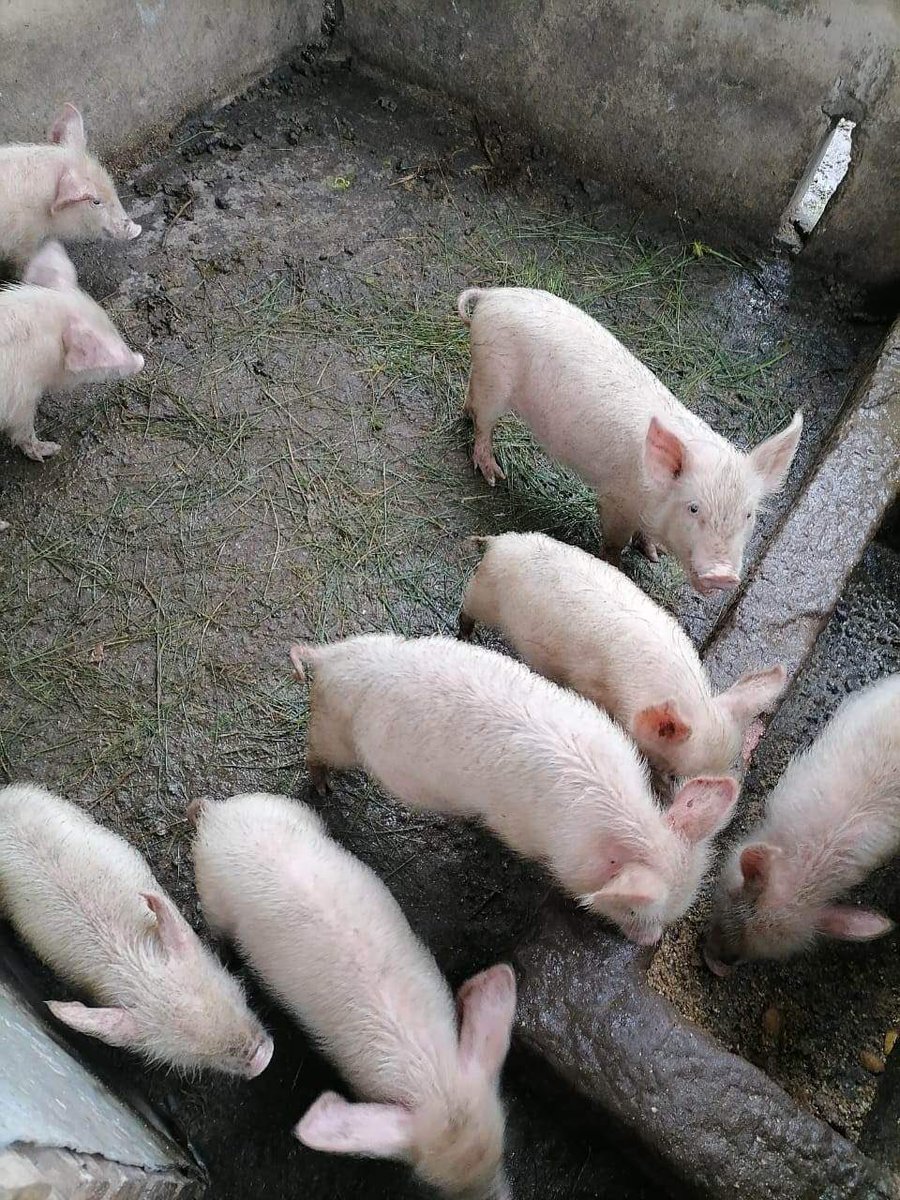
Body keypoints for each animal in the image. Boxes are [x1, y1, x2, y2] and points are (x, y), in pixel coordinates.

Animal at [192, 792, 516, 1200]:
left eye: (504, 1151)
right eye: (433, 1188)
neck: (433, 1077)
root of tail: (217, 815)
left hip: (288, 811)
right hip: (212, 894)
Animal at [289, 634, 739, 944]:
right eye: (632, 911)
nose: (651, 941)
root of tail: (326, 658)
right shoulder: (519, 830)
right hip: (333, 732)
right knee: (313, 753)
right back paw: (323, 790)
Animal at [457, 286, 803, 594]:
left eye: (749, 515)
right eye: (693, 508)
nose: (723, 576)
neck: (653, 496)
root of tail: (491, 295)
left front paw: (654, 555)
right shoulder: (616, 498)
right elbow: (613, 542)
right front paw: (618, 568)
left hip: (484, 370)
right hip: (495, 376)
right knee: (484, 424)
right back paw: (493, 475)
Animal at [459, 532, 787, 777]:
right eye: (673, 775)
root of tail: (501, 541)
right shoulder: (589, 681)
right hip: (483, 593)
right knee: (467, 608)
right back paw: (465, 635)